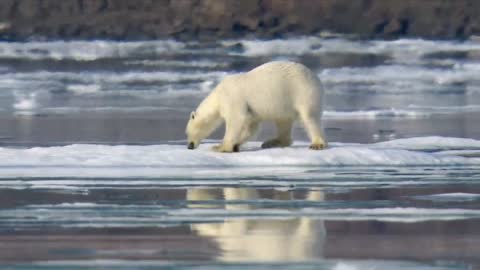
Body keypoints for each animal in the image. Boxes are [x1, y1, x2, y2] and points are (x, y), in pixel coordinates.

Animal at [185, 62, 326, 153]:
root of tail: (316, 78)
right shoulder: (251, 110)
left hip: (302, 91)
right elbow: (250, 127)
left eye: (188, 132)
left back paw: (317, 144)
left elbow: (236, 120)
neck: (218, 96)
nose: (189, 146)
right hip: (284, 103)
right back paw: (272, 142)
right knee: (283, 121)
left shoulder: (233, 99)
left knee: (309, 117)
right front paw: (235, 145)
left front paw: (219, 147)